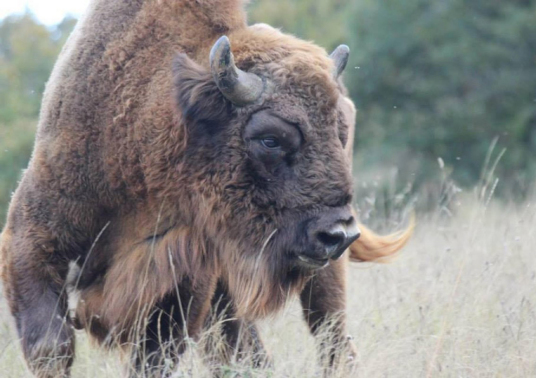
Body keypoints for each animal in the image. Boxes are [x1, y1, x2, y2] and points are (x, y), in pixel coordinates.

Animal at [0, 1, 410, 376]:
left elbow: (157, 355)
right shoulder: (32, 240)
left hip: (322, 276)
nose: (340, 234)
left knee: (330, 335)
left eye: (340, 134)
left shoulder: (180, 281)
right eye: (270, 139)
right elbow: (50, 346)